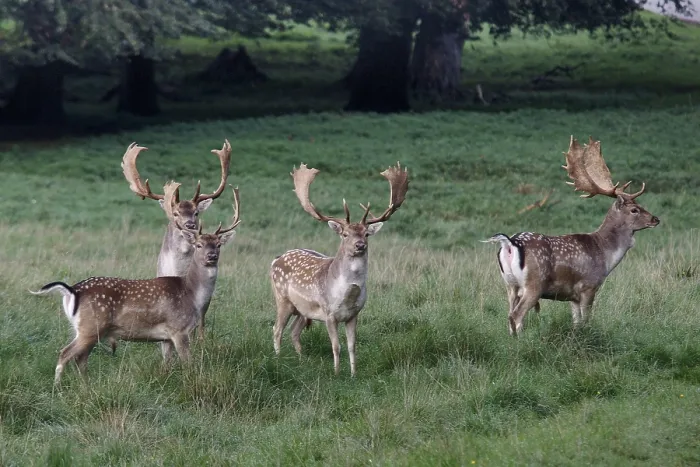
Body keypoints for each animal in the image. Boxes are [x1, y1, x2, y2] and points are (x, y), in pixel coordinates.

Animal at [30, 182, 240, 386]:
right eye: (198, 245)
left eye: (218, 245)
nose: (211, 256)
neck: (192, 296)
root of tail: (71, 291)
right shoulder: (179, 329)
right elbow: (189, 364)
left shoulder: (166, 337)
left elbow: (167, 364)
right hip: (90, 326)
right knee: (65, 353)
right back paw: (58, 388)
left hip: (85, 330)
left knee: (80, 358)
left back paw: (86, 387)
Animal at [270, 162, 409, 376]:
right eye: (345, 234)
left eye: (366, 234)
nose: (360, 245)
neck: (348, 295)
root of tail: (276, 260)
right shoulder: (329, 314)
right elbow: (336, 346)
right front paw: (336, 373)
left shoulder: (354, 314)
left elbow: (352, 346)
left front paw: (353, 374)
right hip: (282, 299)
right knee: (276, 330)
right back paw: (278, 360)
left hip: (303, 309)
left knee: (294, 332)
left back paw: (301, 361)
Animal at [483, 136, 660, 336]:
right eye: (634, 209)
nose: (656, 219)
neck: (605, 254)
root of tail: (510, 243)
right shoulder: (588, 286)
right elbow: (586, 321)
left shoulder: (572, 297)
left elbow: (576, 323)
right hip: (534, 284)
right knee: (516, 316)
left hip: (510, 285)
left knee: (509, 315)